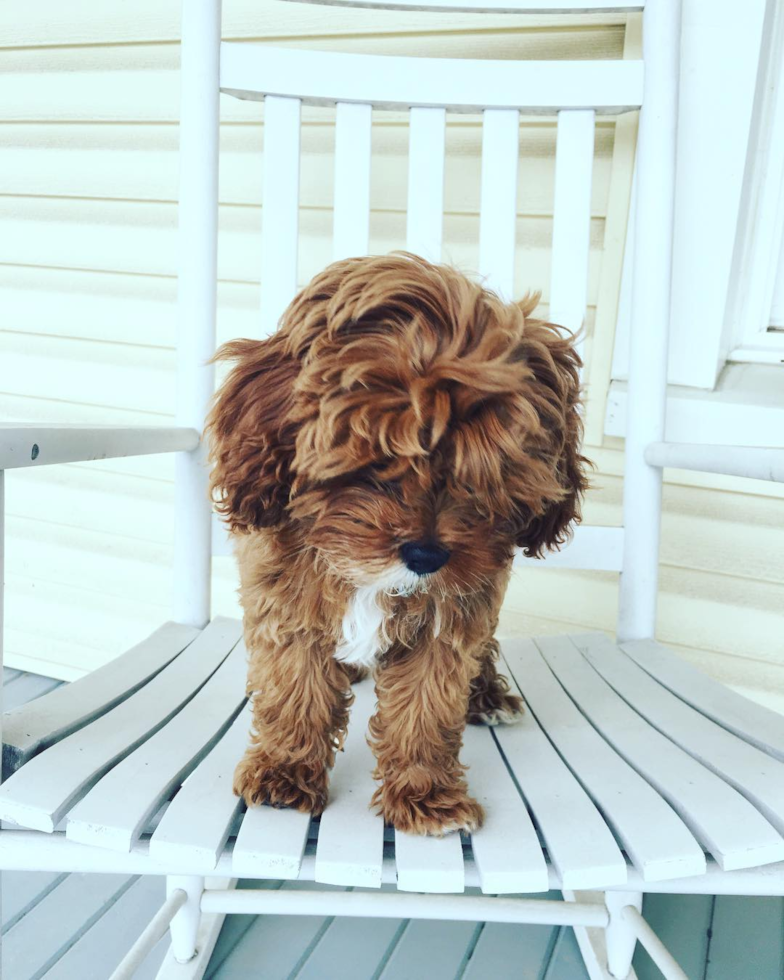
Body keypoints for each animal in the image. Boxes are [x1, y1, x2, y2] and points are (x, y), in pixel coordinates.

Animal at [205, 253, 584, 836]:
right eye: (376, 457)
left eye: (487, 475)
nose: (427, 556)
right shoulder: (285, 597)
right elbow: (295, 684)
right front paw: (285, 769)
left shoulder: (452, 618)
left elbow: (427, 705)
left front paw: (426, 795)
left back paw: (486, 694)